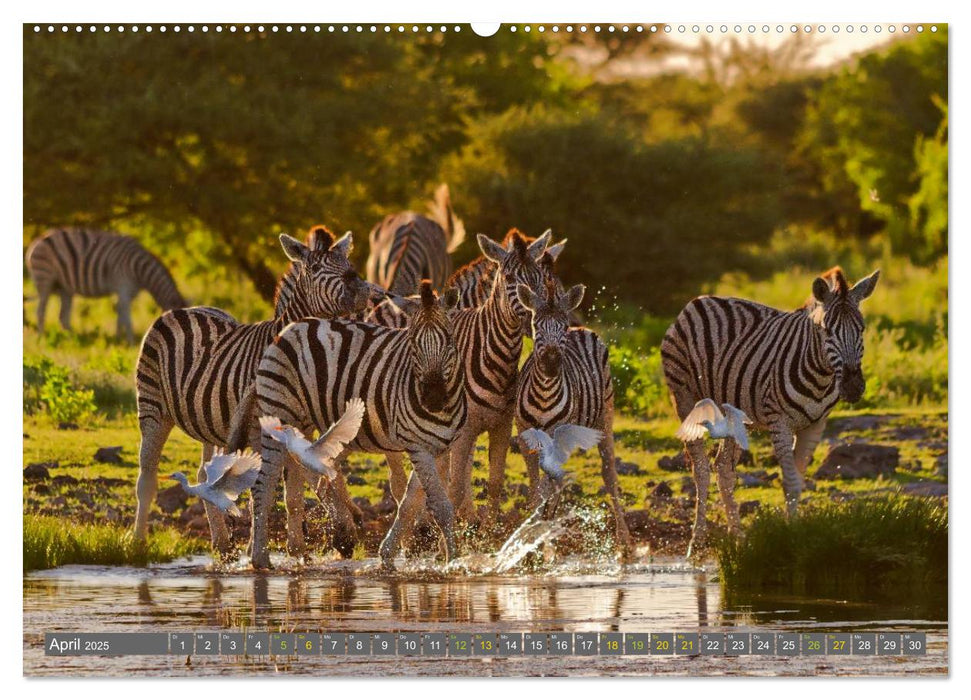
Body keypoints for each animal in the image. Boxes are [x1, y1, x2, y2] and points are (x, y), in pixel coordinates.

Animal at [129, 227, 372, 556]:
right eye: (315, 268)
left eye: (347, 262)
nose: (358, 288)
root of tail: (184, 310)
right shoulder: (263, 424)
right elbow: (277, 481)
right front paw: (340, 532)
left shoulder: (302, 425)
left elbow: (295, 491)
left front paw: (297, 549)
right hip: (152, 407)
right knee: (147, 476)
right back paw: (138, 541)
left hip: (211, 423)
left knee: (204, 474)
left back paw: (221, 543)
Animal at [237, 278, 462, 568]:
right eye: (412, 343)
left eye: (450, 340)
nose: (432, 398)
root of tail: (288, 329)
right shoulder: (419, 447)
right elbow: (440, 506)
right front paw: (453, 561)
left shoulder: (440, 448)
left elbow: (410, 503)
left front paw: (388, 553)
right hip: (278, 410)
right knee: (262, 485)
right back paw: (261, 557)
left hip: (301, 422)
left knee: (299, 466)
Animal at [512, 274, 636, 556]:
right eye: (536, 326)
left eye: (562, 326)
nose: (551, 364)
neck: (544, 397)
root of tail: (582, 329)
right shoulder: (525, 438)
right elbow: (536, 490)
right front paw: (532, 542)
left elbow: (549, 489)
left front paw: (542, 541)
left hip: (605, 417)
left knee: (609, 475)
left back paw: (624, 542)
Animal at [660, 266, 880, 556]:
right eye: (826, 331)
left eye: (862, 329)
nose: (853, 387)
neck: (820, 376)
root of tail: (698, 301)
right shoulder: (780, 423)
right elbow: (789, 481)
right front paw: (791, 540)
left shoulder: (815, 425)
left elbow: (798, 483)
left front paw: (796, 536)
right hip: (685, 397)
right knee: (701, 469)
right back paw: (696, 543)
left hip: (733, 414)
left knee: (723, 470)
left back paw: (738, 538)